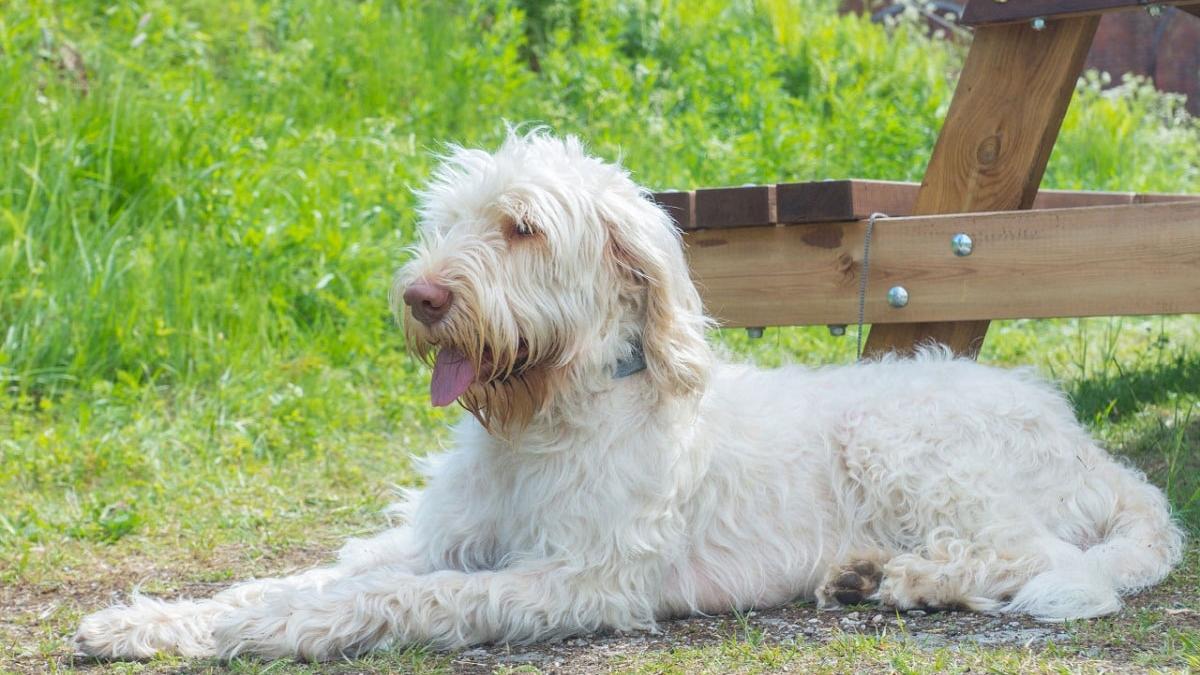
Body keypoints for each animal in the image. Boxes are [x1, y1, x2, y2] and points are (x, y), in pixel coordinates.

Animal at [72, 133, 1180, 658]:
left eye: (521, 227)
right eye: (448, 220)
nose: (422, 298)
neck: (544, 418)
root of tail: (1092, 451)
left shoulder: (578, 579)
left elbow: (394, 597)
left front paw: (257, 636)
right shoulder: (446, 539)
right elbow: (303, 576)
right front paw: (153, 622)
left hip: (908, 448)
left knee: (1026, 555)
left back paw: (902, 580)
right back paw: (863, 571)